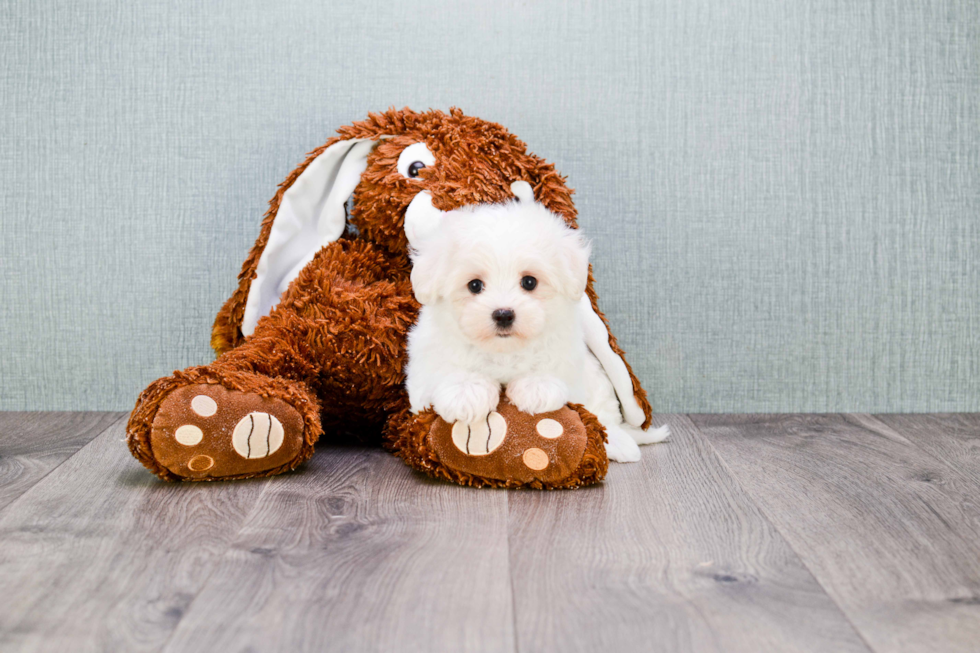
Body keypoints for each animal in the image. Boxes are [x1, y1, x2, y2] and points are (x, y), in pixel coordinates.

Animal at [404, 196, 668, 460]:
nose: (503, 314)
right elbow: (443, 368)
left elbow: (553, 366)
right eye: (474, 285)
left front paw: (536, 387)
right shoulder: (427, 359)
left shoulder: (567, 349)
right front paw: (466, 391)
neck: (504, 350)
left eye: (529, 282)